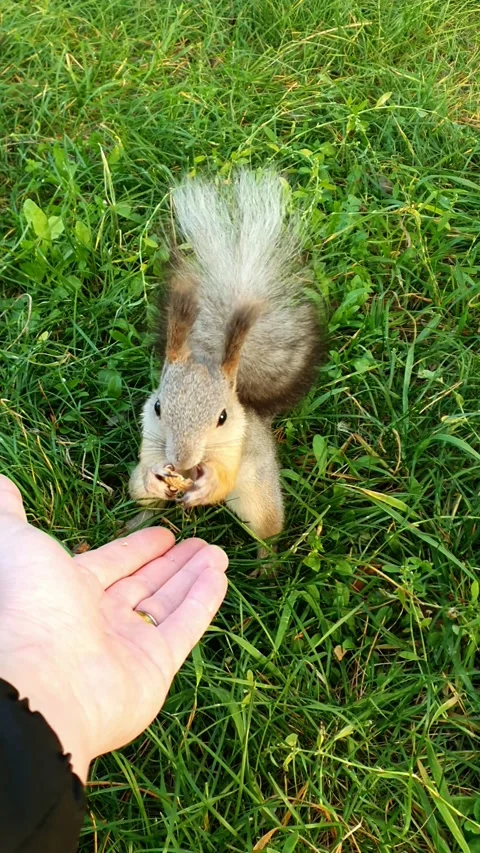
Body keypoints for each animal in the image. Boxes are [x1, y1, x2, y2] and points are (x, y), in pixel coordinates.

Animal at [129, 170, 324, 554]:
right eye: (158, 407)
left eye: (223, 417)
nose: (183, 461)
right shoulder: (150, 436)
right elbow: (148, 462)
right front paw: (157, 477)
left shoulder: (234, 446)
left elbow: (222, 477)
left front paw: (205, 486)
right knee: (144, 501)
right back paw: (137, 521)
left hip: (259, 496)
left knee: (266, 529)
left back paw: (266, 561)